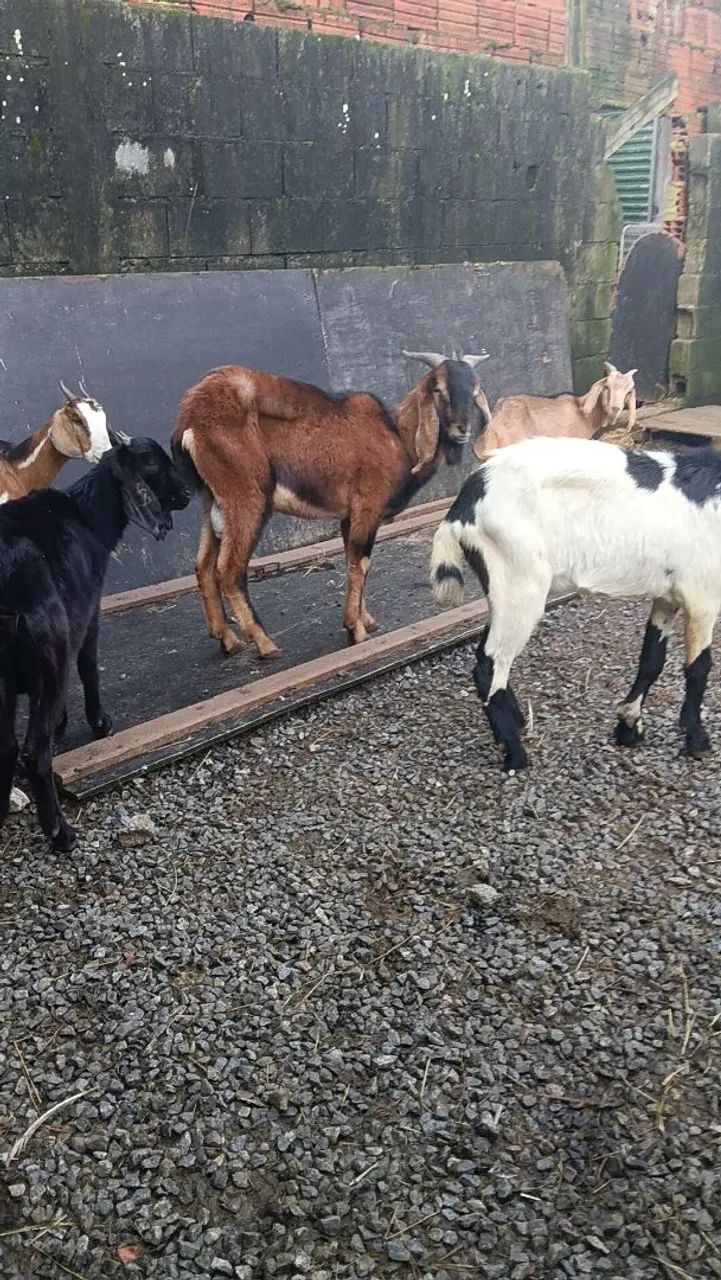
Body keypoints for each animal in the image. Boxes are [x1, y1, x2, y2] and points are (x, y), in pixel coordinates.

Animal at [0, 437, 189, 851]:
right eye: (154, 465)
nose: (186, 494)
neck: (87, 517)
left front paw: (63, 722)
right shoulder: (88, 612)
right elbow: (88, 668)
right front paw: (100, 723)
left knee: (6, 746)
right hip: (51, 647)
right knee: (34, 751)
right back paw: (61, 834)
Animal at [171, 351, 491, 658]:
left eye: (475, 390)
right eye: (438, 389)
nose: (461, 429)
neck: (396, 435)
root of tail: (189, 419)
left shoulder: (349, 516)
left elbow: (352, 560)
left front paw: (365, 620)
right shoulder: (367, 506)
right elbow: (361, 562)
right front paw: (356, 630)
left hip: (212, 500)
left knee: (203, 564)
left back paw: (227, 639)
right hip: (247, 497)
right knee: (229, 570)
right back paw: (264, 643)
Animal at [430, 436, 721, 772]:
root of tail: (465, 504)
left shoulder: (667, 595)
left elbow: (651, 659)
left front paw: (628, 726)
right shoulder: (703, 595)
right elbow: (699, 667)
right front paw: (697, 740)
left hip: (504, 587)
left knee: (486, 656)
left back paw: (515, 724)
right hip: (520, 583)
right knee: (491, 663)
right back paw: (515, 754)